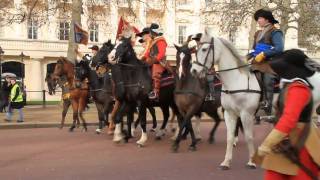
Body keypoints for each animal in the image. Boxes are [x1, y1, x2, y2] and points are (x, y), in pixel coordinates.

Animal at [190, 31, 260, 169]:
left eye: (204, 49)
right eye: (196, 49)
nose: (194, 70)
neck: (235, 81)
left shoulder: (247, 114)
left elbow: (249, 136)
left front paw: (251, 161)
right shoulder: (229, 113)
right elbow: (230, 137)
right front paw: (226, 162)